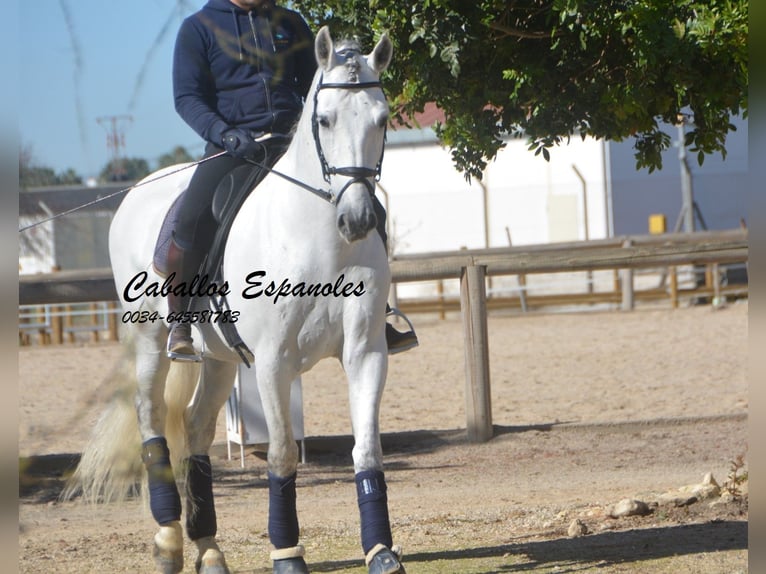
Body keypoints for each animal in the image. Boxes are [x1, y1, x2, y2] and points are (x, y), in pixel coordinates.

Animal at [70, 27, 408, 574]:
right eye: (325, 119)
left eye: (382, 119)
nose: (357, 219)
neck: (318, 239)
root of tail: (137, 191)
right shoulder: (273, 362)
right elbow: (282, 454)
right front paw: (287, 554)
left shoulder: (365, 354)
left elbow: (368, 451)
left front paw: (380, 550)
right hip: (150, 341)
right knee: (151, 420)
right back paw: (168, 542)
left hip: (221, 358)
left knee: (196, 427)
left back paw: (209, 549)